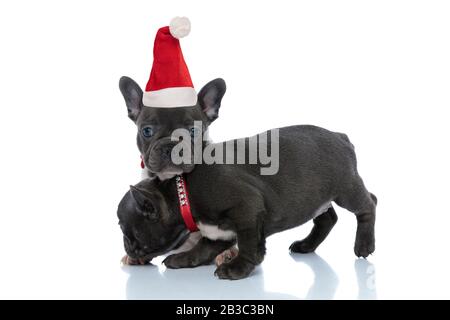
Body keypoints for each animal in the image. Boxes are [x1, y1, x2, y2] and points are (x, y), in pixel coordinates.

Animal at [116, 125, 376, 280]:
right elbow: (202, 249)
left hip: (345, 189)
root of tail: (340, 136)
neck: (182, 195)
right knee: (327, 218)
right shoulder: (217, 233)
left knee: (368, 204)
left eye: (125, 230)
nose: (126, 246)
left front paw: (237, 268)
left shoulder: (247, 211)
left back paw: (364, 245)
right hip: (317, 197)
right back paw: (306, 245)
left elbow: (249, 246)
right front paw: (183, 259)